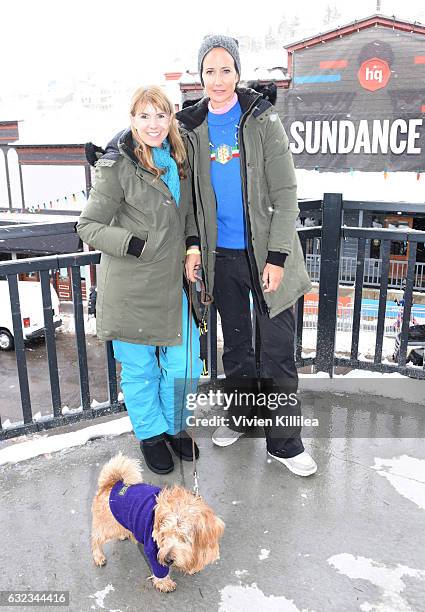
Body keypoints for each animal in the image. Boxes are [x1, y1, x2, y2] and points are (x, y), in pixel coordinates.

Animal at [90, 452, 225, 592]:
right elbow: (159, 570)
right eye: (164, 534)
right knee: (95, 538)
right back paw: (98, 556)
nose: (167, 560)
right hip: (107, 527)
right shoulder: (153, 550)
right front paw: (164, 583)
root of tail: (111, 484)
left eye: (183, 538)